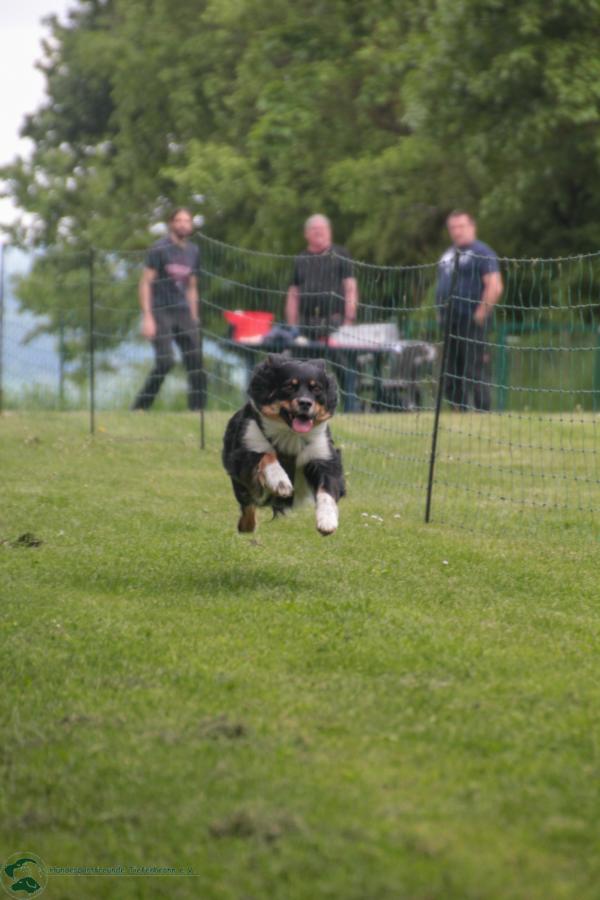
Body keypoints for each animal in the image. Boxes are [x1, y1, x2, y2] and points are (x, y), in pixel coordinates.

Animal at [222, 354, 345, 535]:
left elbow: (328, 490)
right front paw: (279, 481)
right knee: (248, 504)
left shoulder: (324, 456)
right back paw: (247, 526)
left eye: (316, 388)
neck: (291, 435)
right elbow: (266, 455)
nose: (305, 403)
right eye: (289, 386)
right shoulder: (243, 451)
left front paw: (327, 520)